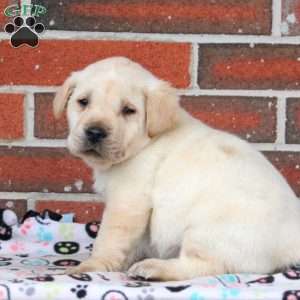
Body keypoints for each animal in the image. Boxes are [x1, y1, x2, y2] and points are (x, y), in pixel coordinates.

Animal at [53, 56, 300, 282]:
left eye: (128, 110)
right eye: (83, 102)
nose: (95, 132)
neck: (144, 143)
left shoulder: (127, 201)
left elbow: (108, 238)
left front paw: (91, 265)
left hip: (206, 229)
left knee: (205, 267)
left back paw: (154, 268)